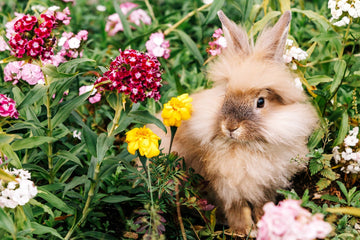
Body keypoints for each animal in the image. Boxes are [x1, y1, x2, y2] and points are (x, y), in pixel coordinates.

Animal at [149, 10, 318, 234]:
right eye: (226, 95)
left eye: (261, 102)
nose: (230, 127)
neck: (248, 146)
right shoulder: (228, 188)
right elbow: (238, 210)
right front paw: (244, 230)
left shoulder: (265, 186)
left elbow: (261, 205)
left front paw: (264, 224)